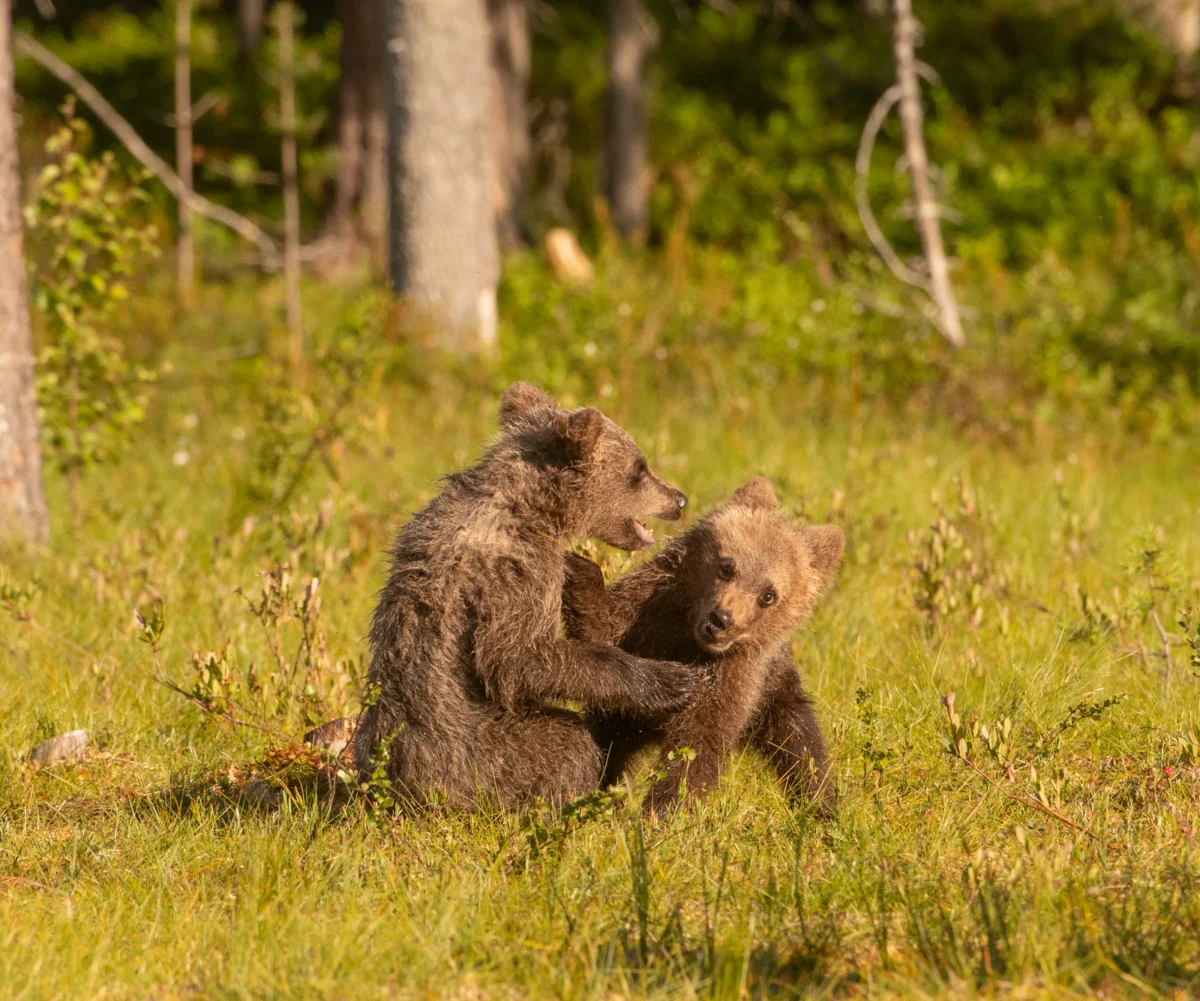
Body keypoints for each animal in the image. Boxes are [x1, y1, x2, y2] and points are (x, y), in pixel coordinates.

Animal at [353, 382, 705, 809]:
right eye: (639, 468)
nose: (679, 499)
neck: (530, 509)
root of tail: (396, 793)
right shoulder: (514, 573)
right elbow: (517, 657)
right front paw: (672, 680)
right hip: (477, 757)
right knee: (567, 741)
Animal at [560, 477, 843, 814]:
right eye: (727, 566)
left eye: (768, 595)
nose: (722, 619)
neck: (689, 639)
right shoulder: (648, 615)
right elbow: (605, 633)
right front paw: (577, 568)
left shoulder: (734, 675)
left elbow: (698, 743)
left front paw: (663, 808)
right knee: (608, 743)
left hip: (777, 695)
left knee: (802, 746)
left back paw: (819, 806)